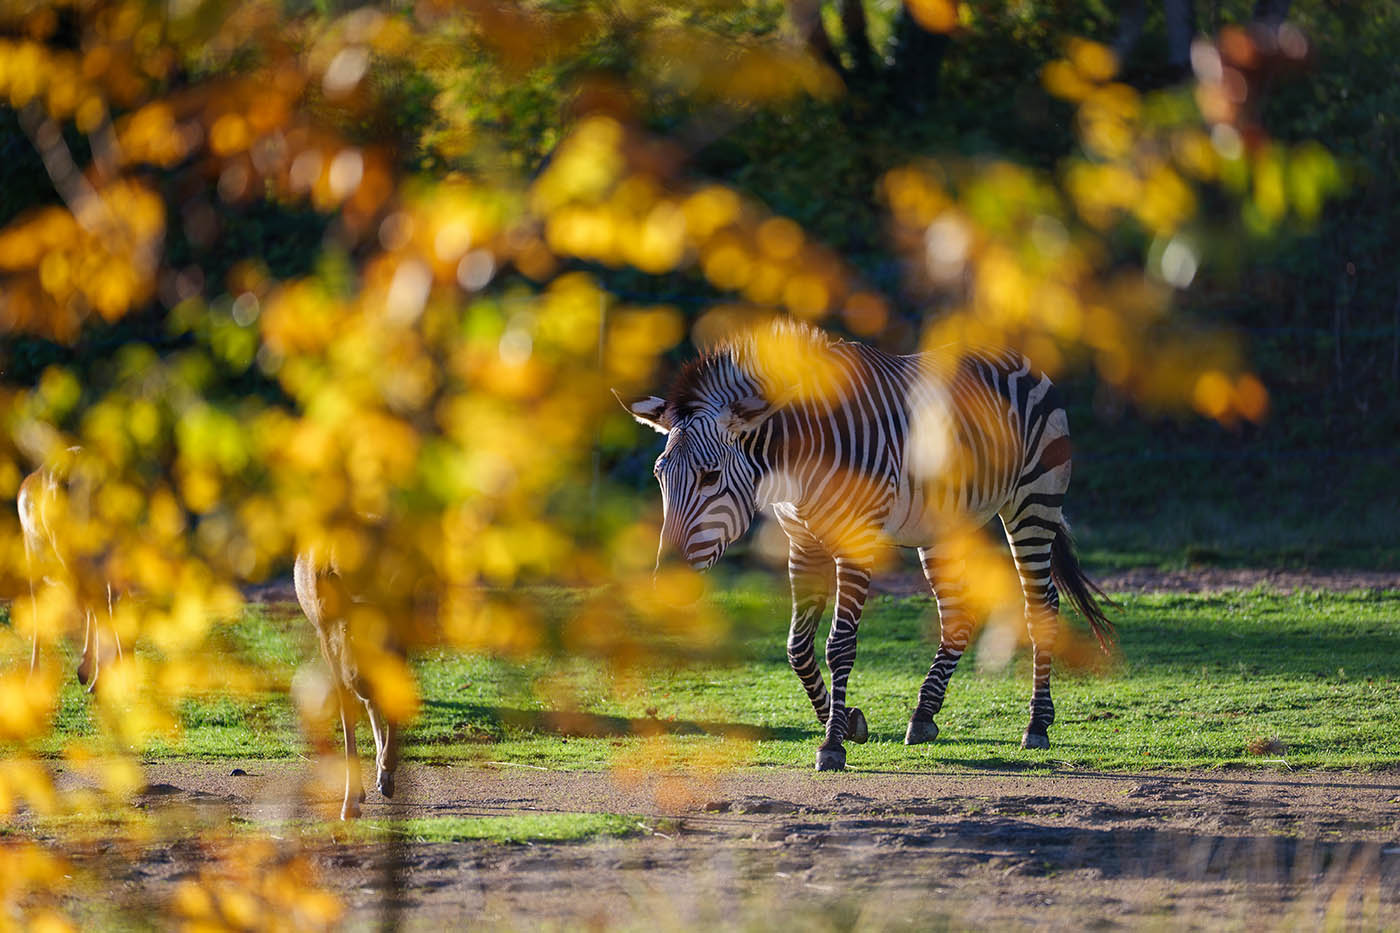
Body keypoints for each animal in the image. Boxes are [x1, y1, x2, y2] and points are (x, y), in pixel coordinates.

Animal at [618, 319, 1108, 767]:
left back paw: (1037, 725)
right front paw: (846, 721)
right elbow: (797, 648)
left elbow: (839, 645)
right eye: (660, 476)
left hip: (1033, 502)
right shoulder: (803, 542)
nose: (665, 587)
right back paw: (923, 716)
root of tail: (1016, 354)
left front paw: (832, 744)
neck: (796, 458)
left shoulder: (856, 540)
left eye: (710, 476)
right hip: (942, 525)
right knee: (958, 614)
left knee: (1041, 605)